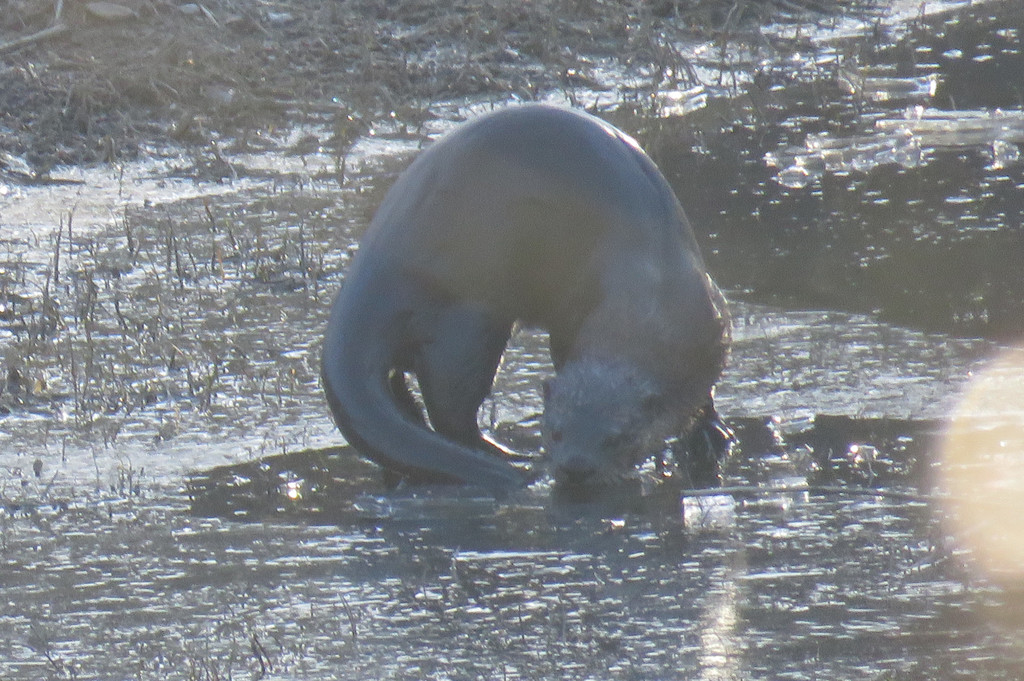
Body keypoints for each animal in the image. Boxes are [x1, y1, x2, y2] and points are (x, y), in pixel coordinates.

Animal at [322, 105, 730, 494]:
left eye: (616, 438)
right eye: (554, 431)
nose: (575, 467)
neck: (656, 294)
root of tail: (376, 270)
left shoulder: (713, 327)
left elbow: (705, 394)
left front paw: (710, 432)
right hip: (465, 320)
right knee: (451, 408)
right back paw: (503, 452)